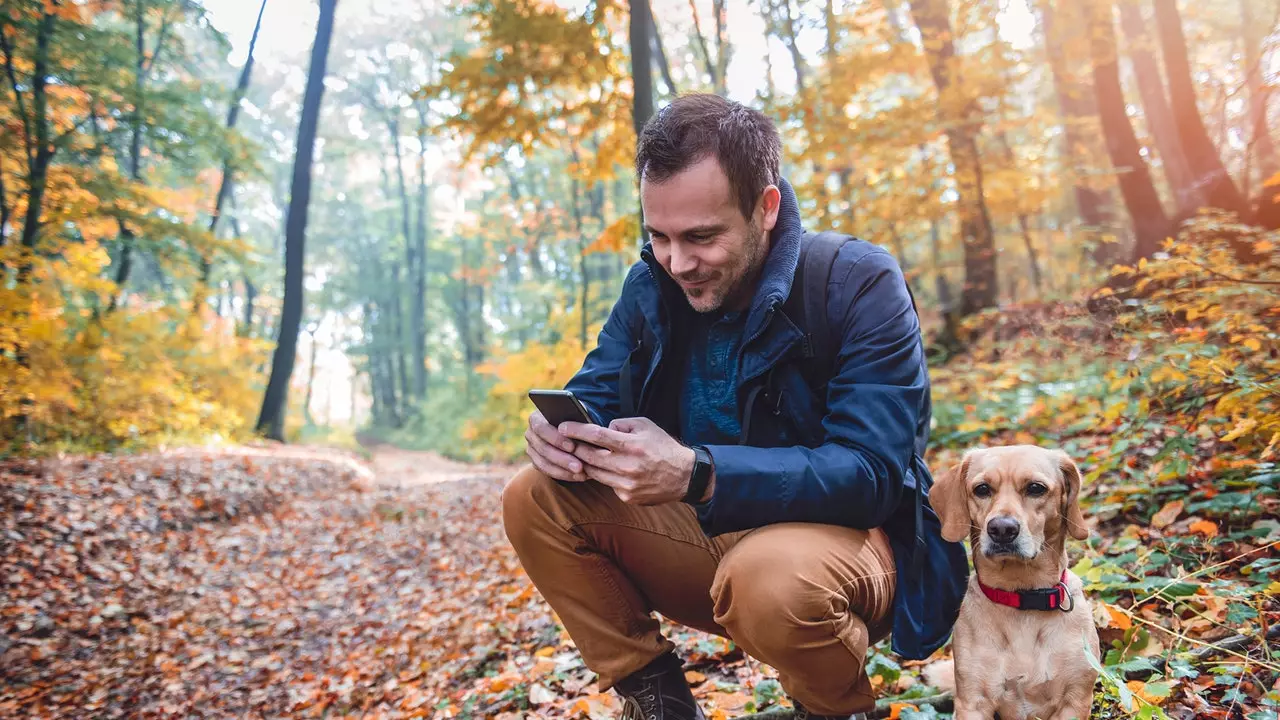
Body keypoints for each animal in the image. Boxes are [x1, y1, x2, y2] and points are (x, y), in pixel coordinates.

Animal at [931, 443, 1100, 717]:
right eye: (982, 489)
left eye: (1035, 488)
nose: (1001, 529)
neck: (1022, 596)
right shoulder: (972, 703)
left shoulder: (1074, 700)